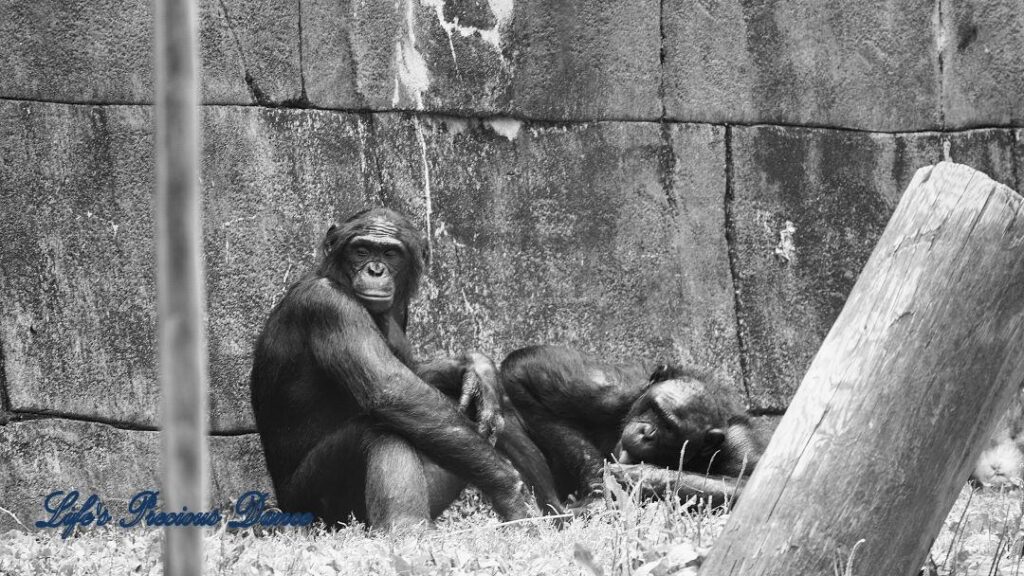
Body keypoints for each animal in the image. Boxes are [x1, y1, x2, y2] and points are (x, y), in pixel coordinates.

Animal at [251, 208, 565, 528]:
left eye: (390, 253)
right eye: (361, 250)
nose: (376, 270)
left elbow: (412, 369)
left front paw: (478, 368)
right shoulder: (330, 307)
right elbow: (391, 387)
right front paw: (509, 491)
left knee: (485, 408)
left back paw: (555, 509)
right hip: (317, 506)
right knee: (380, 429)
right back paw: (407, 530)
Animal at [499, 342, 765, 504]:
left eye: (669, 427)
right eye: (655, 409)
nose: (646, 432)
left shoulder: (738, 440)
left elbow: (748, 483)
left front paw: (641, 476)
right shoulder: (607, 389)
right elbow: (525, 371)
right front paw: (597, 484)